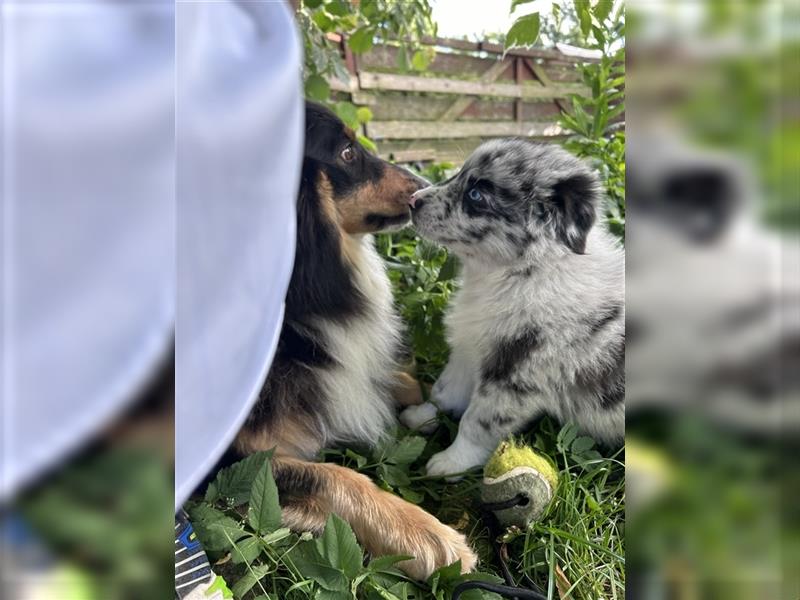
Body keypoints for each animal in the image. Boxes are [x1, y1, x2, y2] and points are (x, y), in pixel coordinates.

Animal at [400, 138, 624, 476]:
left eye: (476, 194)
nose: (412, 200)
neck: (520, 272)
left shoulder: (514, 373)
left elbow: (477, 421)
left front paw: (452, 461)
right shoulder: (469, 350)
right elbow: (444, 391)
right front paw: (420, 416)